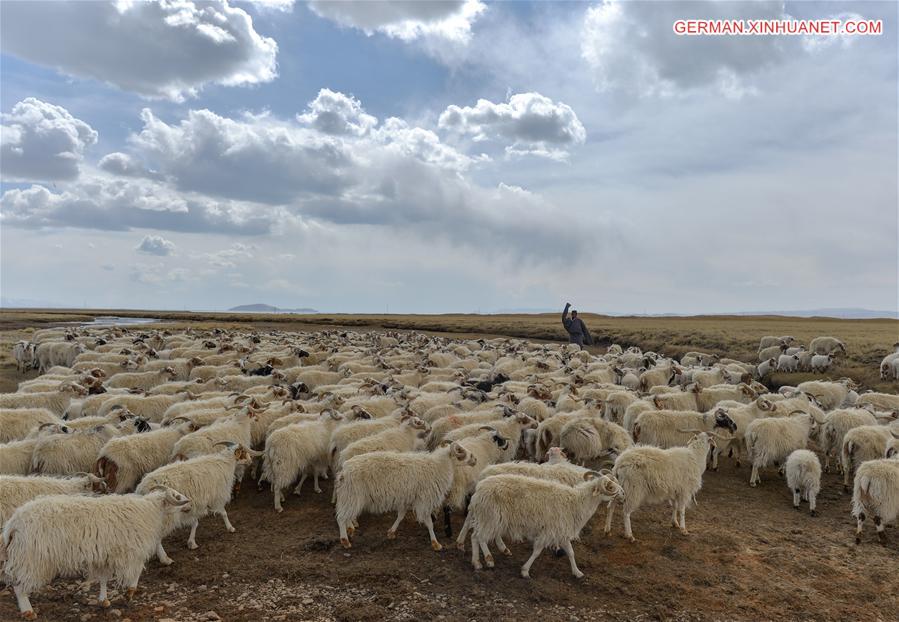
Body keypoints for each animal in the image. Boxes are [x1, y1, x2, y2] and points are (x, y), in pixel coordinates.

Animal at [0, 488, 192, 620]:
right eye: (176, 496)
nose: (190, 503)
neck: (150, 511)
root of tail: (14, 523)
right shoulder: (131, 552)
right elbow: (136, 573)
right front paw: (129, 593)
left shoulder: (103, 557)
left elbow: (104, 579)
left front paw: (103, 600)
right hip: (33, 560)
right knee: (19, 587)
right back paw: (28, 612)